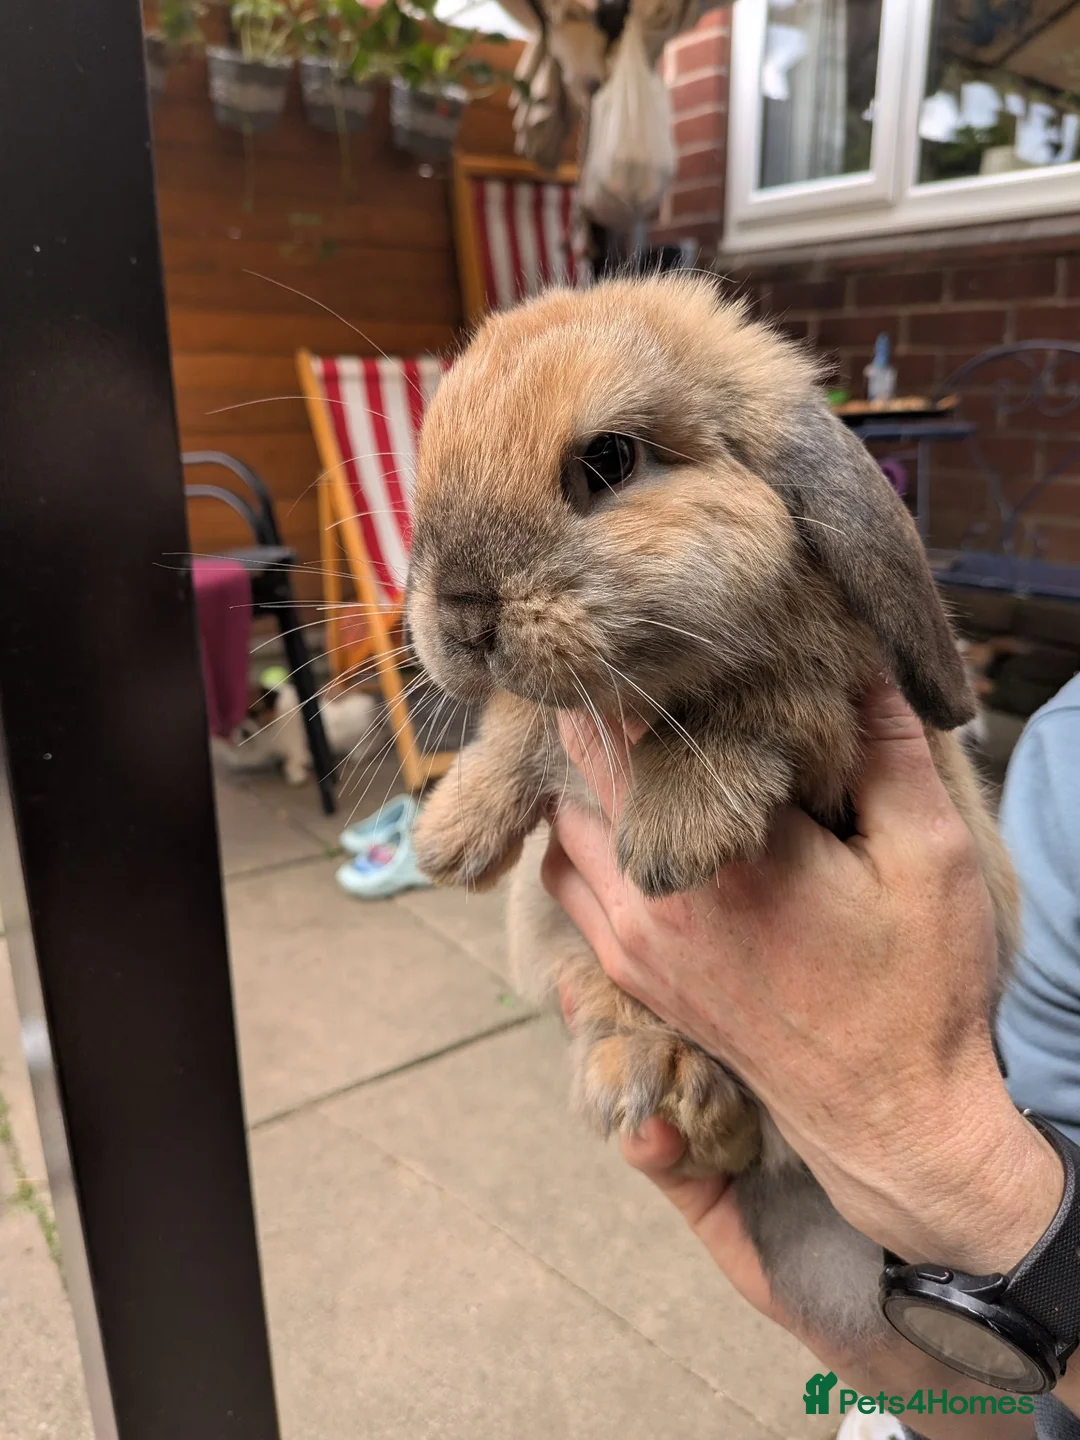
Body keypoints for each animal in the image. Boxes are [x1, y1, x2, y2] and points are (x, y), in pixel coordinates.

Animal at [404, 274, 1019, 1352]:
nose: (463, 613)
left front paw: (673, 837)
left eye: (609, 460)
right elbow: (525, 720)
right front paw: (450, 839)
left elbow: (754, 705)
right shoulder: (555, 719)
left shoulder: (823, 708)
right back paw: (658, 1081)